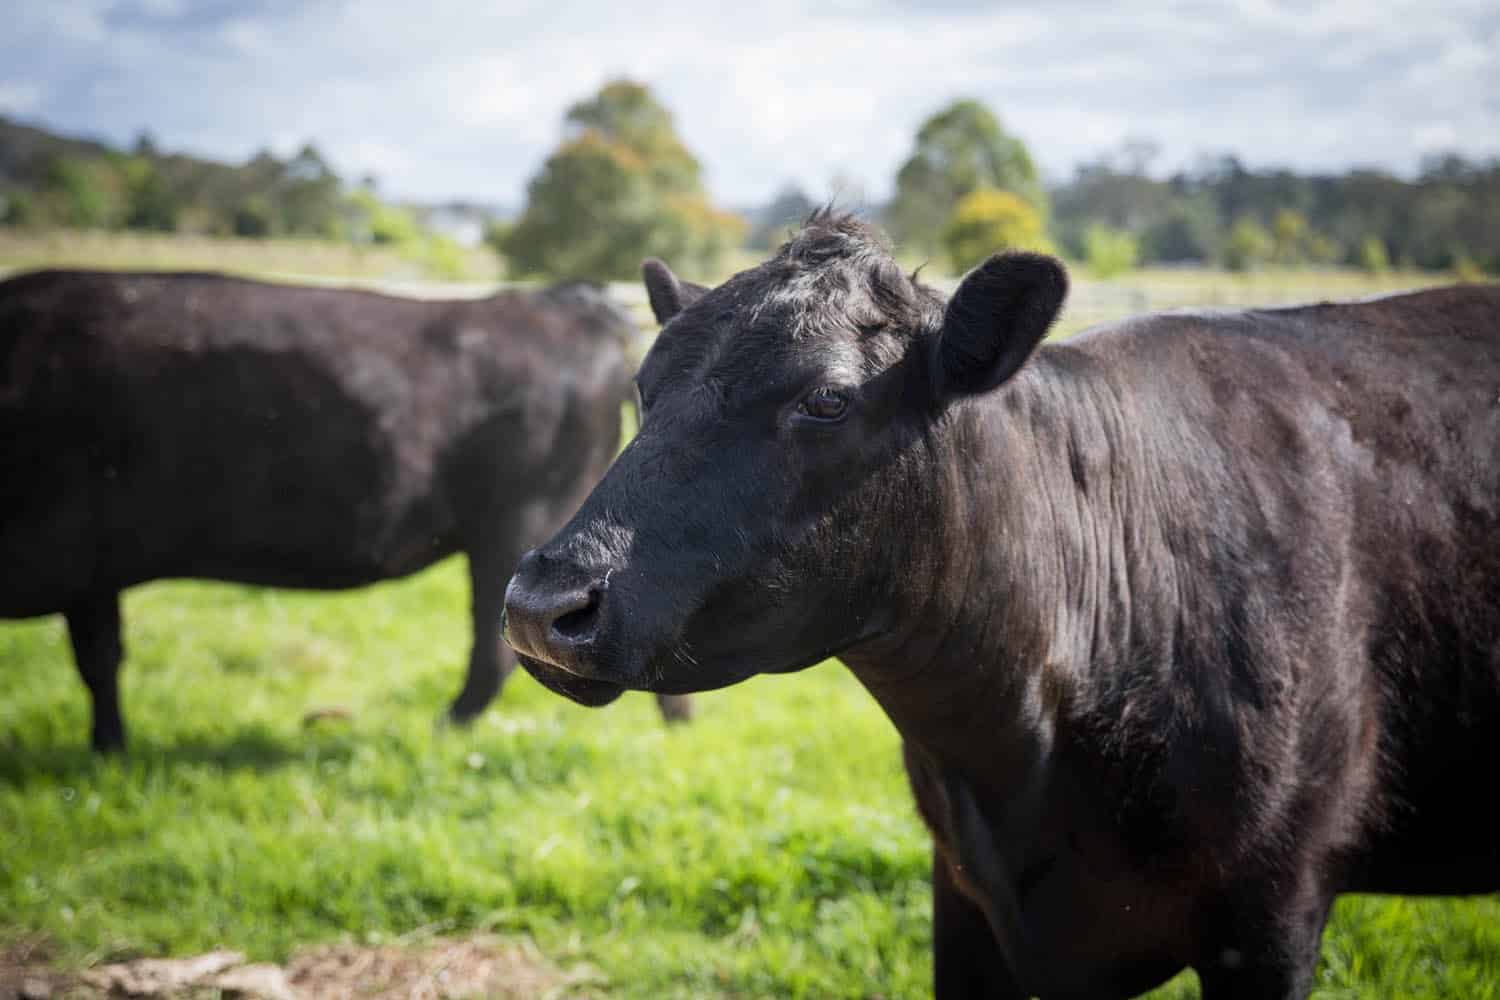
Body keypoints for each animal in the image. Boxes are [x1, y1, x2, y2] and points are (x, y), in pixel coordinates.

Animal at [0, 269, 690, 752]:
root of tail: (564, 300)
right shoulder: (92, 571)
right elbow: (103, 659)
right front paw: (109, 750)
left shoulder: (80, 558)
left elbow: (98, 662)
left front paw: (107, 752)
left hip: (519, 526)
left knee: (493, 655)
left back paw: (439, 731)